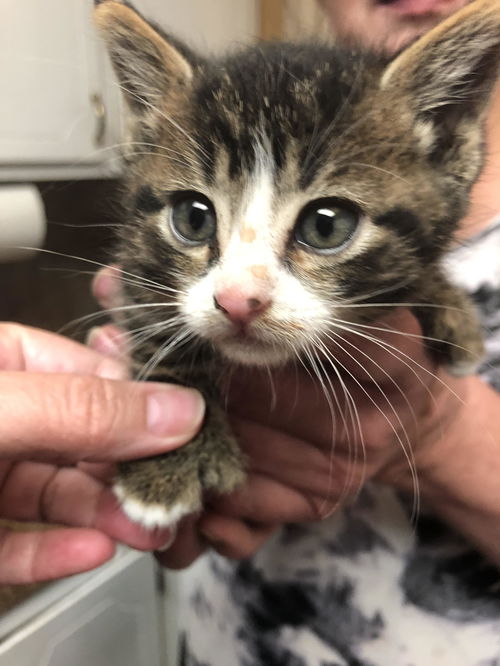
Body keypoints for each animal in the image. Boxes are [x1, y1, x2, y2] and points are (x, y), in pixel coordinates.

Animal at [94, 0, 500, 528]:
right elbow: (156, 325)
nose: (238, 301)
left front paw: (450, 309)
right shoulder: (135, 260)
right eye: (192, 218)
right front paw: (166, 464)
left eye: (327, 226)